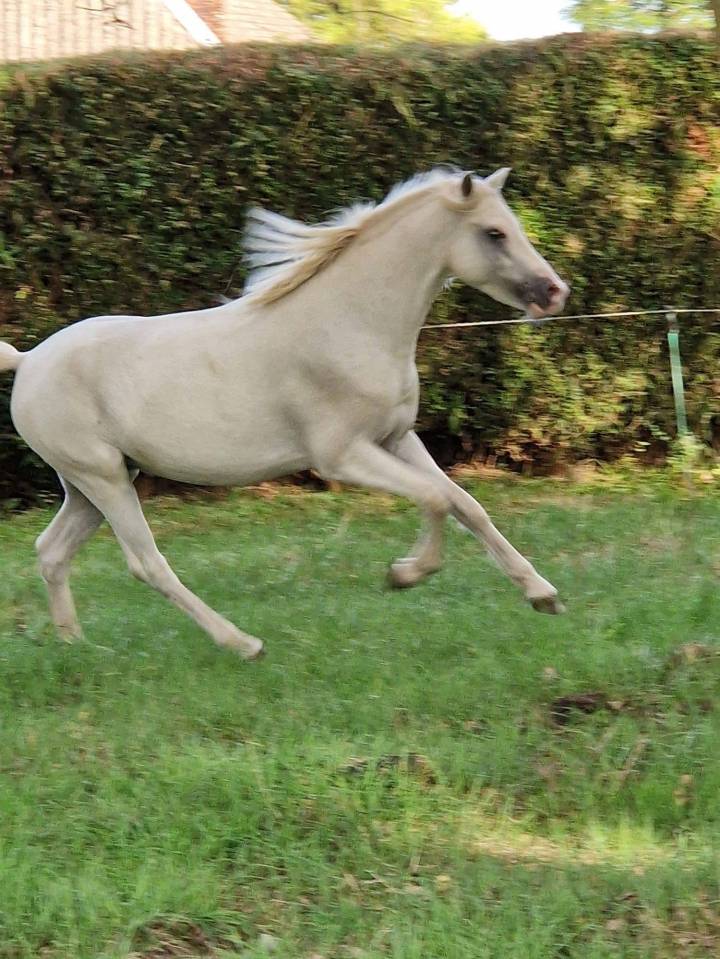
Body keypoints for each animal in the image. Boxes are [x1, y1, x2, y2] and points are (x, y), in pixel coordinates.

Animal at [0, 168, 569, 659]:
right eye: (494, 233)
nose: (554, 293)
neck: (348, 322)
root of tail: (28, 361)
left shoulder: (397, 438)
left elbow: (466, 504)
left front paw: (542, 594)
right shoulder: (342, 456)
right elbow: (434, 498)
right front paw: (404, 575)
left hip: (93, 484)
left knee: (52, 551)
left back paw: (77, 647)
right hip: (103, 479)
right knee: (146, 563)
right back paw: (243, 644)